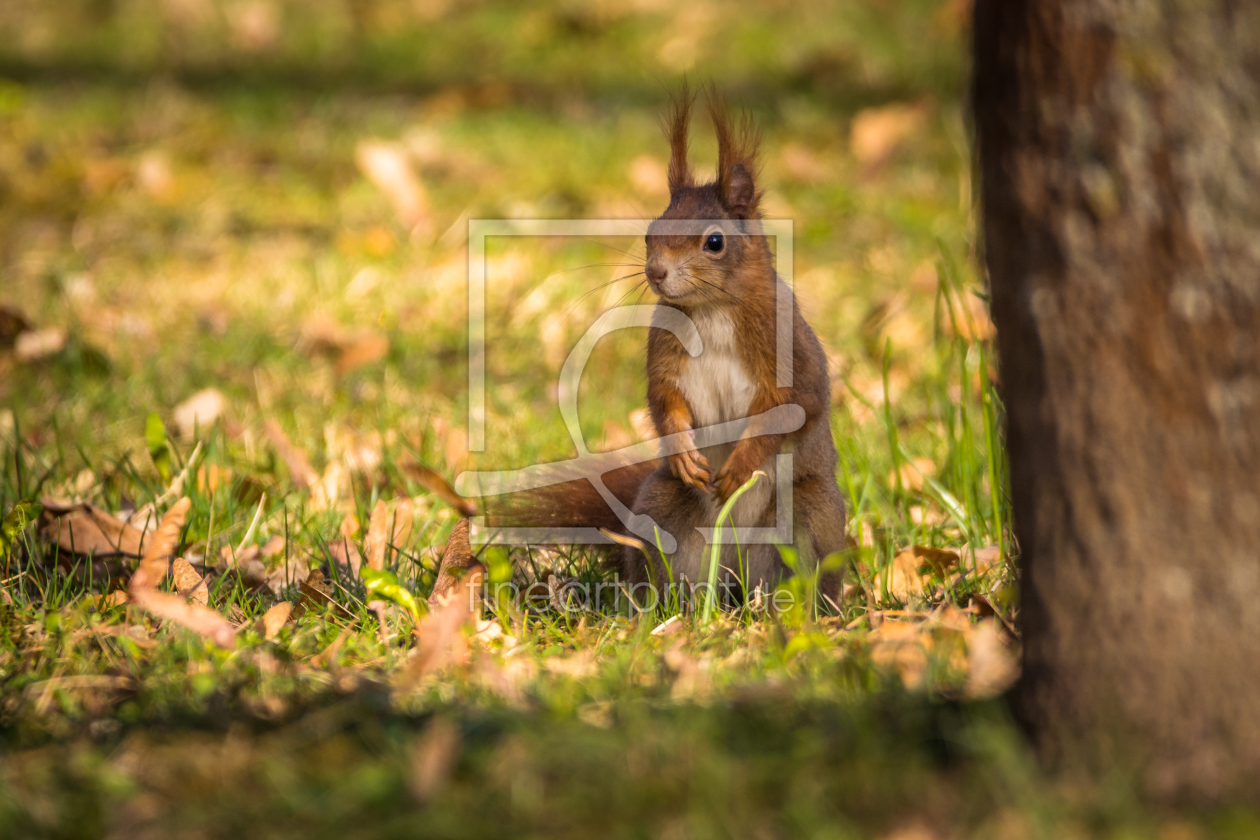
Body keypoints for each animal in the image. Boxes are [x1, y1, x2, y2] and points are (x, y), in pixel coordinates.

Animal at [483, 88, 846, 604]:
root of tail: (733, 569)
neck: (711, 310)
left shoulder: (790, 350)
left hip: (808, 515)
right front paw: (682, 450)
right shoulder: (665, 355)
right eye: (649, 233)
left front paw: (740, 465)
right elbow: (663, 400)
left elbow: (793, 406)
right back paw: (663, 605)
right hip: (661, 508)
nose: (655, 272)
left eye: (714, 242)